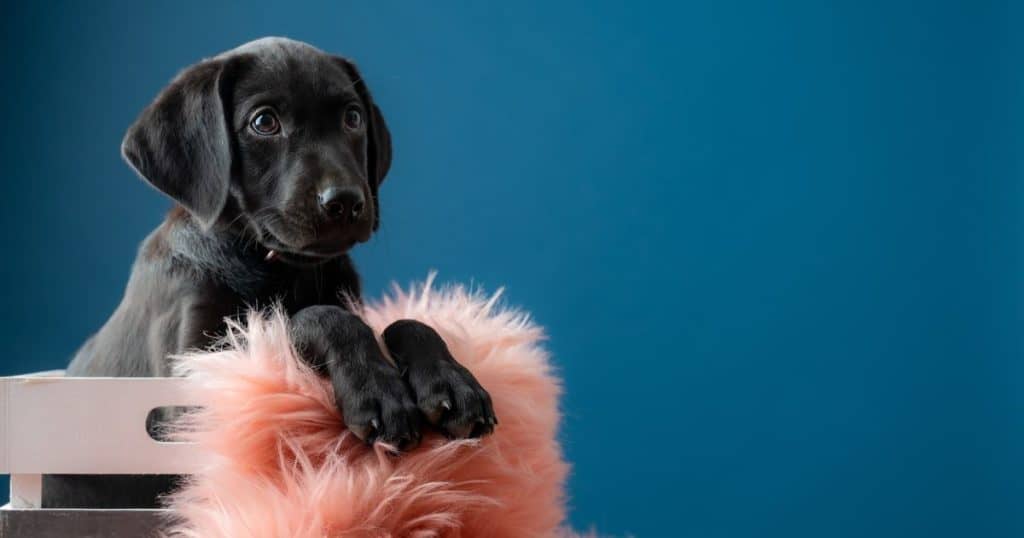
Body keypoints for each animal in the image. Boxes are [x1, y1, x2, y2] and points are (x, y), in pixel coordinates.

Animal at [44, 37, 495, 508]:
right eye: (264, 122)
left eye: (352, 117)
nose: (346, 201)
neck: (281, 268)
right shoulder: (194, 386)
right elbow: (314, 318)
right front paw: (378, 390)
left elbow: (407, 321)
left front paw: (452, 383)